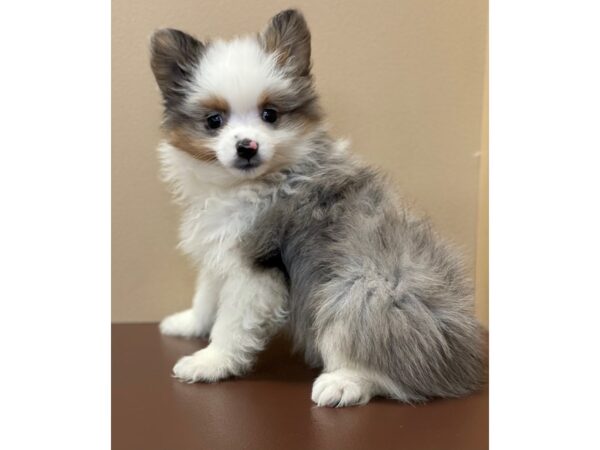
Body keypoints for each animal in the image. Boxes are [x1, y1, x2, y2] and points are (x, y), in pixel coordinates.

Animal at [151, 8, 488, 406]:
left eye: (270, 115)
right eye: (214, 121)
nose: (247, 146)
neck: (249, 184)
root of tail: (461, 356)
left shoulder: (256, 270)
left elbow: (230, 323)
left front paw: (210, 362)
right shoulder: (221, 252)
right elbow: (207, 296)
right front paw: (187, 323)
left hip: (364, 288)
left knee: (386, 367)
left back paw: (343, 382)